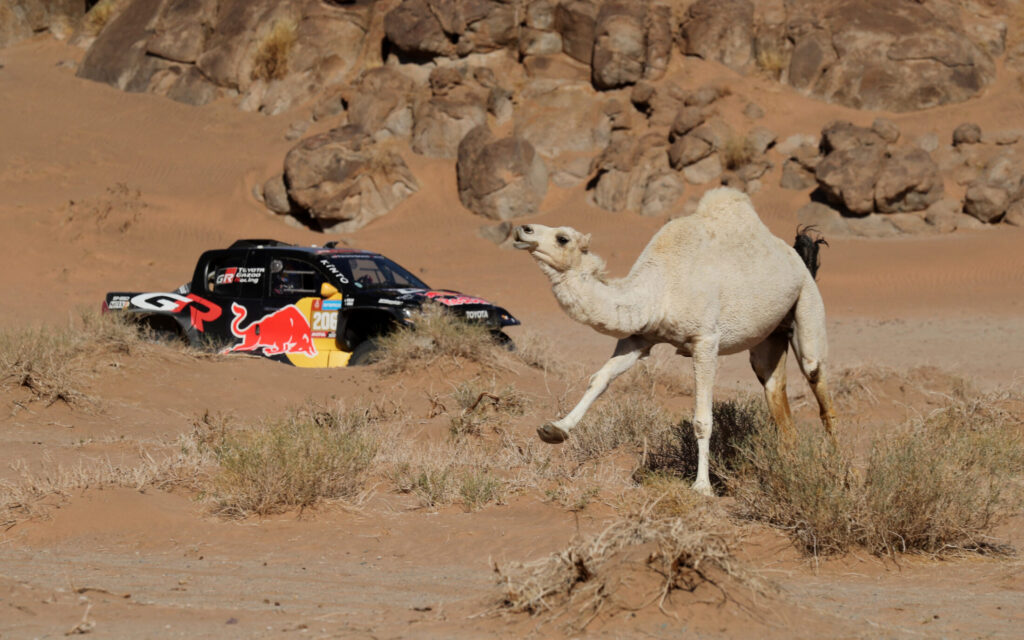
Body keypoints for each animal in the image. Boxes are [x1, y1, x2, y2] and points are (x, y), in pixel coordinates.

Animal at [516, 184, 835, 493]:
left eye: (562, 238)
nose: (522, 229)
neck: (660, 287)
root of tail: (796, 257)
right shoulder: (639, 338)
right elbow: (600, 379)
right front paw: (556, 429)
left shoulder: (706, 340)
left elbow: (702, 419)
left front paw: (702, 486)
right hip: (770, 334)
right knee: (774, 391)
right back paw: (787, 466)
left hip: (807, 300)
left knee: (816, 378)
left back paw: (832, 460)